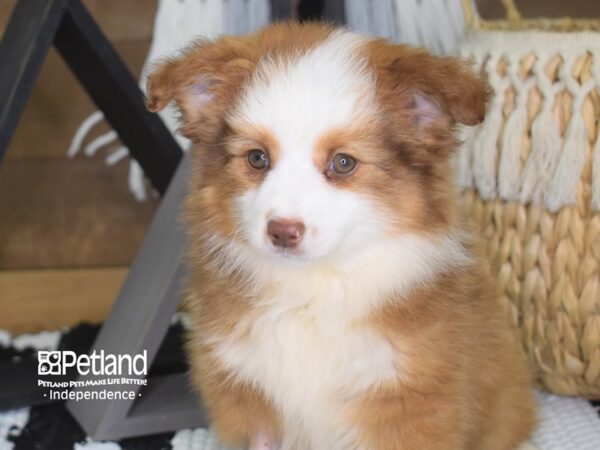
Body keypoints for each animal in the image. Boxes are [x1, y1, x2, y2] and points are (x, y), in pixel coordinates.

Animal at [148, 22, 536, 450]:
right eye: (257, 158)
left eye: (344, 163)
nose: (283, 231)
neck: (315, 291)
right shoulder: (245, 393)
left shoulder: (411, 399)